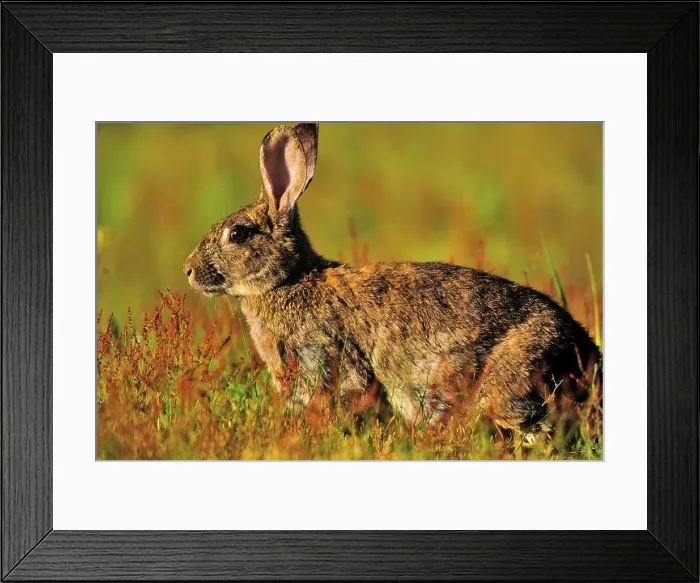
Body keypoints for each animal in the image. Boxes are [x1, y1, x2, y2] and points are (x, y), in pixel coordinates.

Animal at [183, 122, 602, 437]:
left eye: (238, 234)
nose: (188, 269)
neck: (289, 281)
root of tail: (582, 347)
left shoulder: (325, 353)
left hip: (508, 384)